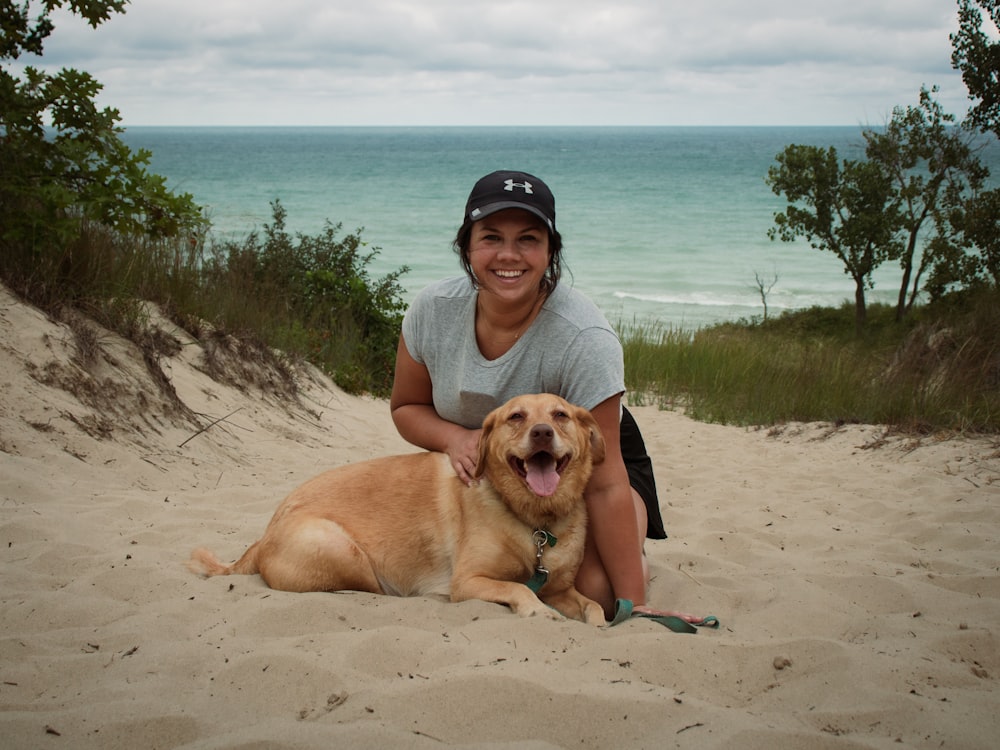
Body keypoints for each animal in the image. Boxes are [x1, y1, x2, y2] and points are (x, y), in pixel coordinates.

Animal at [188, 394, 608, 628]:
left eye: (560, 415)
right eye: (516, 417)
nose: (542, 432)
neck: (536, 519)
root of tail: (262, 537)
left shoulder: (561, 588)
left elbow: (591, 606)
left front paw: (599, 620)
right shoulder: (468, 582)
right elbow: (518, 588)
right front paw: (537, 611)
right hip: (345, 552)